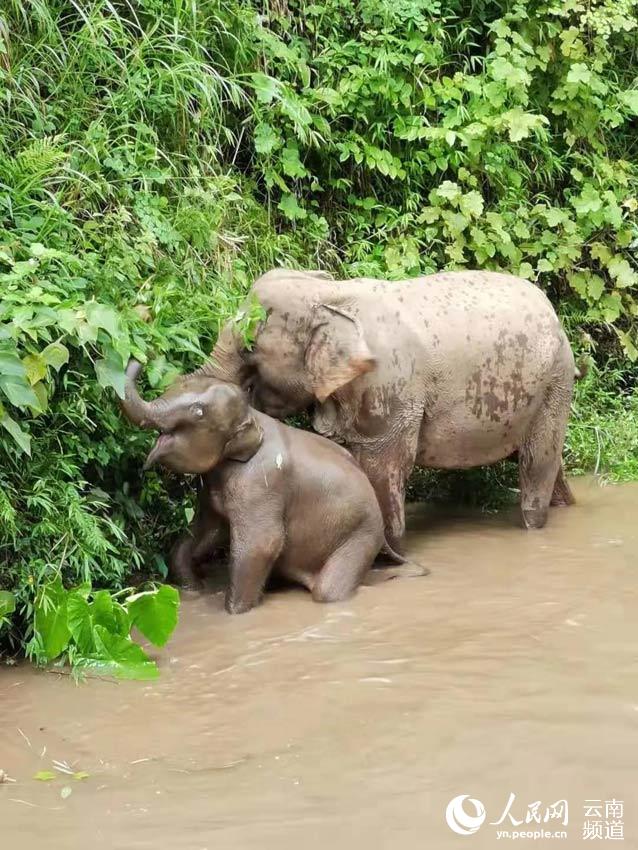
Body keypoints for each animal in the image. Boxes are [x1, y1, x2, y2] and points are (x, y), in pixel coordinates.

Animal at [120, 361, 427, 614]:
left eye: (198, 412)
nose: (140, 359)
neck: (252, 417)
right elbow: (207, 532)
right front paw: (193, 589)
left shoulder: (260, 483)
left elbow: (261, 543)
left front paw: (234, 612)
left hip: (360, 535)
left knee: (327, 592)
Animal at [192, 268, 580, 552]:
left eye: (250, 347)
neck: (329, 294)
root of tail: (554, 314)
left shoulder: (390, 389)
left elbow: (384, 469)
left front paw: (388, 553)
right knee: (548, 461)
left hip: (554, 383)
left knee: (536, 462)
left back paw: (535, 525)